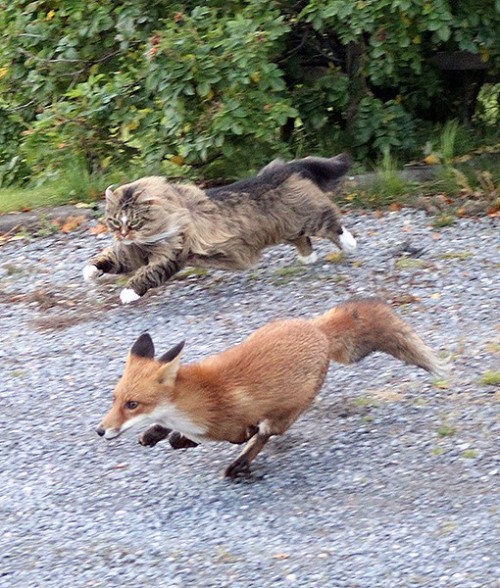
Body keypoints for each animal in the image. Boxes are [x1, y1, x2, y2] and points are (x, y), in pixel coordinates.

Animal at [83, 154, 356, 306]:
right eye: (114, 222)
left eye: (134, 222)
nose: (123, 234)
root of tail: (280, 170)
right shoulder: (132, 252)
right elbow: (110, 258)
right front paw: (90, 270)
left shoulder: (170, 254)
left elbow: (146, 274)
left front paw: (128, 293)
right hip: (288, 226)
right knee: (302, 238)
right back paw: (308, 258)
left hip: (309, 216)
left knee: (331, 221)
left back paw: (349, 244)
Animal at [95, 298, 448, 478]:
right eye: (114, 399)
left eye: (132, 404)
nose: (100, 431)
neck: (199, 398)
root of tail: (316, 329)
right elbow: (168, 433)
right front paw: (157, 433)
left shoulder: (235, 426)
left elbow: (240, 435)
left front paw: (179, 439)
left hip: (286, 412)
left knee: (265, 435)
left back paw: (239, 465)